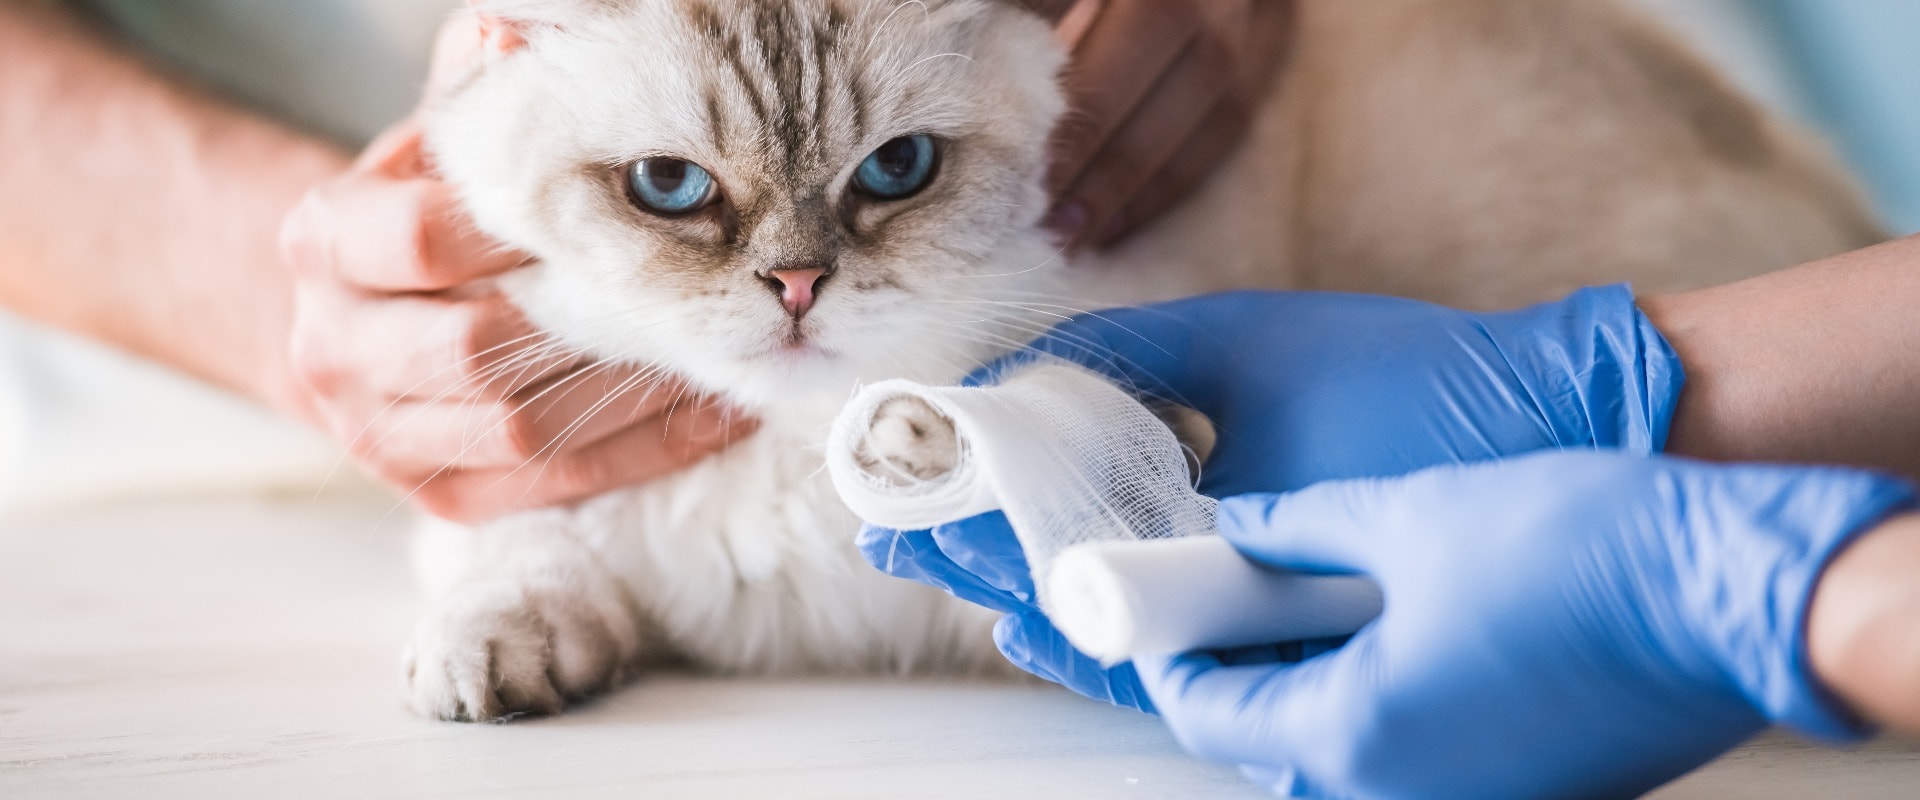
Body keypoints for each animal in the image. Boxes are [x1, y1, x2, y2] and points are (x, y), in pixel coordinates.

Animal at [401, 0, 1873, 721]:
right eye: (668, 186)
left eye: (897, 170)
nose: (799, 288)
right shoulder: (556, 490)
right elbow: (514, 567)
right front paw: (488, 661)